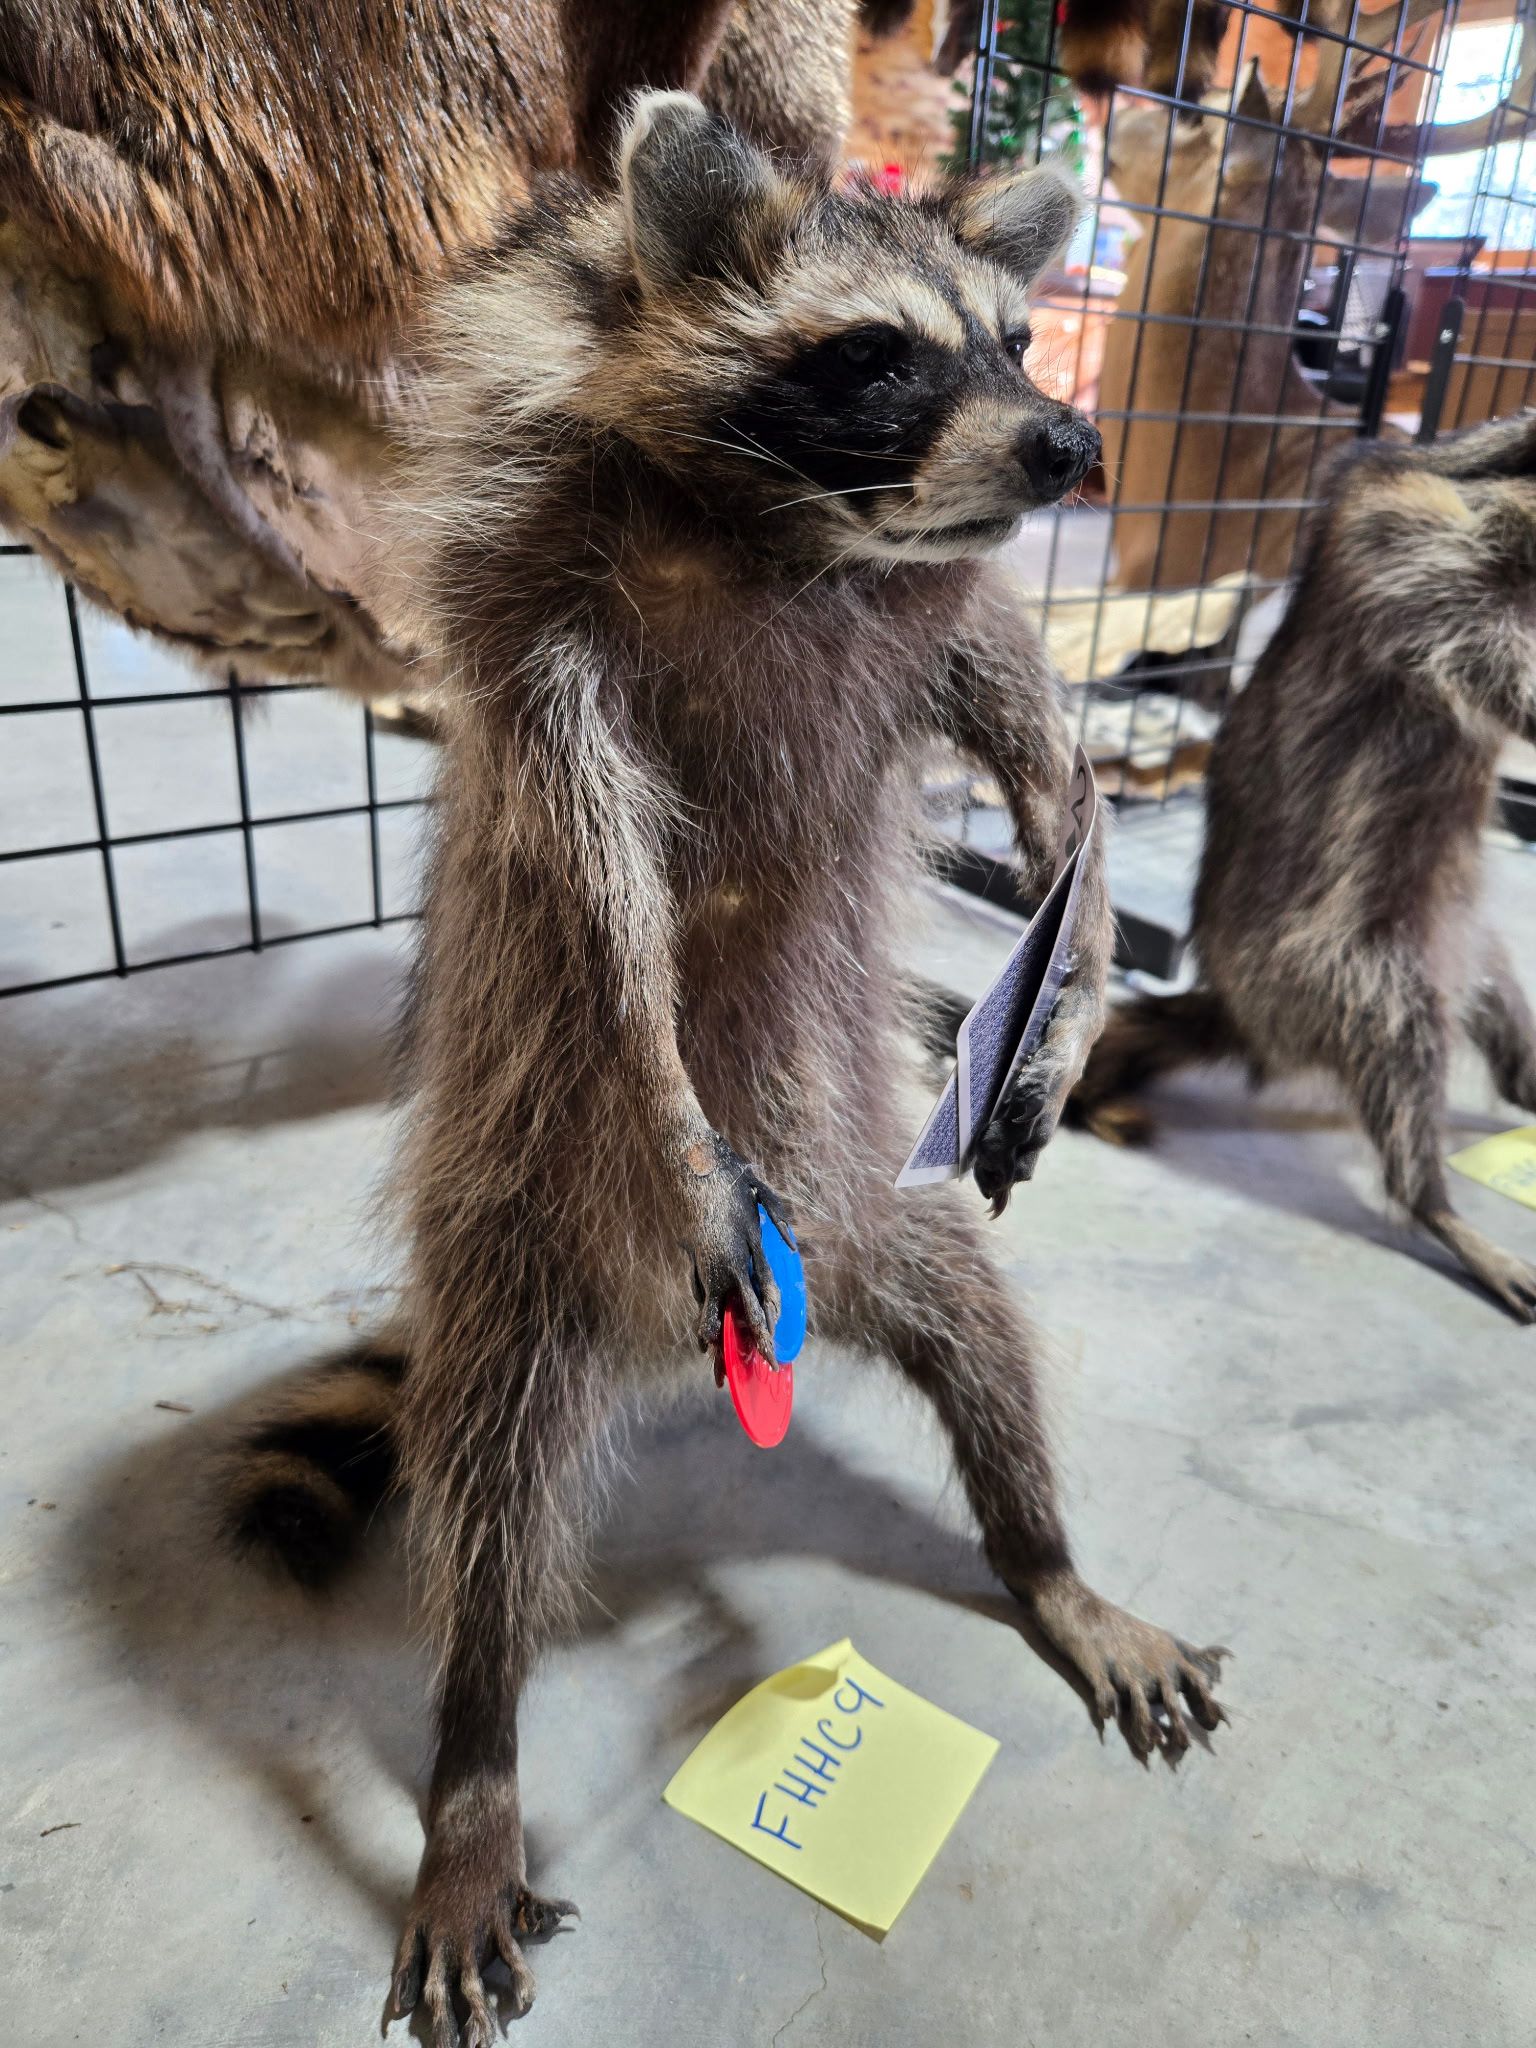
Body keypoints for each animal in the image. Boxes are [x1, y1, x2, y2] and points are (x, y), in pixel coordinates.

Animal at [227, 94, 1227, 2040]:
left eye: (1017, 341)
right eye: (875, 356)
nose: (1071, 440)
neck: (786, 531)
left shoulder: (937, 613)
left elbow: (1048, 765)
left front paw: (1068, 977)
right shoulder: (545, 624)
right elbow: (607, 907)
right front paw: (681, 1104)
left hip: (871, 1217)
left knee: (984, 1344)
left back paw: (1049, 1559)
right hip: (515, 1243)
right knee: (486, 1503)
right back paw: (473, 1766)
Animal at [1070, 414, 1536, 1321]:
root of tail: (1244, 1013)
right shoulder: (1412, 563)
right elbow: (1504, 666)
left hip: (1472, 943)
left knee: (1510, 1022)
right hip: (1344, 965)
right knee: (1402, 1055)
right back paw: (1436, 1202)